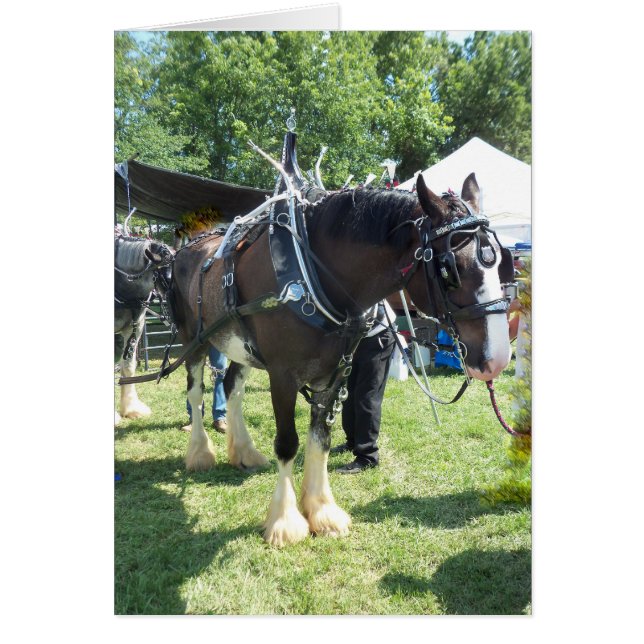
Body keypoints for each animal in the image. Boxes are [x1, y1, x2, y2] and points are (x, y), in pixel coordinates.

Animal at [168, 171, 513, 546]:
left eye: (501, 261)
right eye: (451, 269)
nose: (497, 359)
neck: (313, 274)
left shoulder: (335, 373)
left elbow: (321, 440)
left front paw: (322, 512)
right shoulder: (282, 375)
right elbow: (288, 443)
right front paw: (285, 521)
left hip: (241, 347)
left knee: (232, 387)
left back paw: (243, 451)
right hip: (195, 340)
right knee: (196, 392)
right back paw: (200, 453)